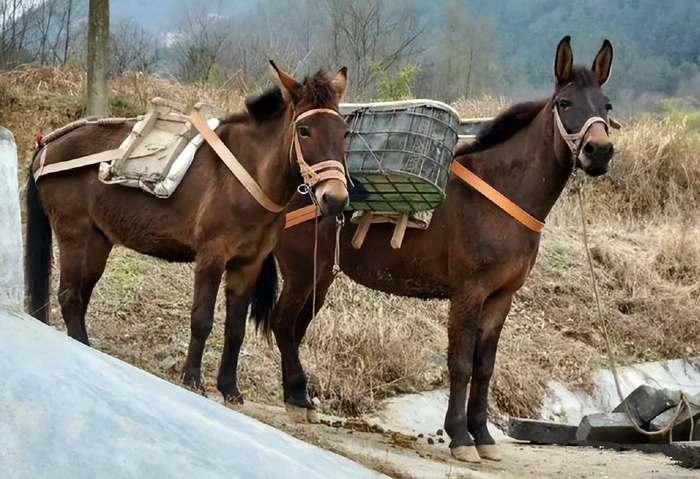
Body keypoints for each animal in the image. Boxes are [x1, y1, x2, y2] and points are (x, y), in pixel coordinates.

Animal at [25, 63, 350, 402]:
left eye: (344, 132)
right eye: (304, 130)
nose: (335, 199)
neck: (248, 174)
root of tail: (49, 144)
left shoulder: (248, 264)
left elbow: (235, 329)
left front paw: (229, 387)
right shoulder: (211, 256)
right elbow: (202, 319)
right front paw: (192, 378)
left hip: (98, 240)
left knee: (81, 294)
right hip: (73, 233)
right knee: (69, 295)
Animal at [246, 36, 616, 462]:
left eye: (606, 106)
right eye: (565, 103)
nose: (599, 151)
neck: (499, 192)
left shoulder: (500, 298)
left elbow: (485, 366)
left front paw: (482, 434)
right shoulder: (468, 293)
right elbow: (461, 363)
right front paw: (460, 436)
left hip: (320, 274)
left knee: (294, 327)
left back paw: (299, 397)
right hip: (301, 269)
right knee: (282, 323)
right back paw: (294, 398)